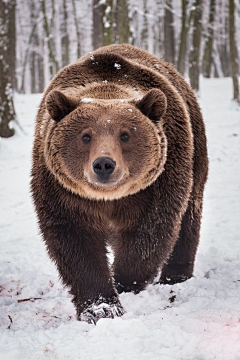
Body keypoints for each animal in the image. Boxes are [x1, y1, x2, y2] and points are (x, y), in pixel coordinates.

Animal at [31, 43, 208, 324]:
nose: (104, 164)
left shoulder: (159, 182)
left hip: (195, 154)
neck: (109, 198)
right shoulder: (61, 190)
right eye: (86, 136)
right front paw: (101, 307)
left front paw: (124, 282)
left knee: (188, 219)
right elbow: (75, 241)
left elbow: (150, 232)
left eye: (125, 135)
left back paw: (175, 278)